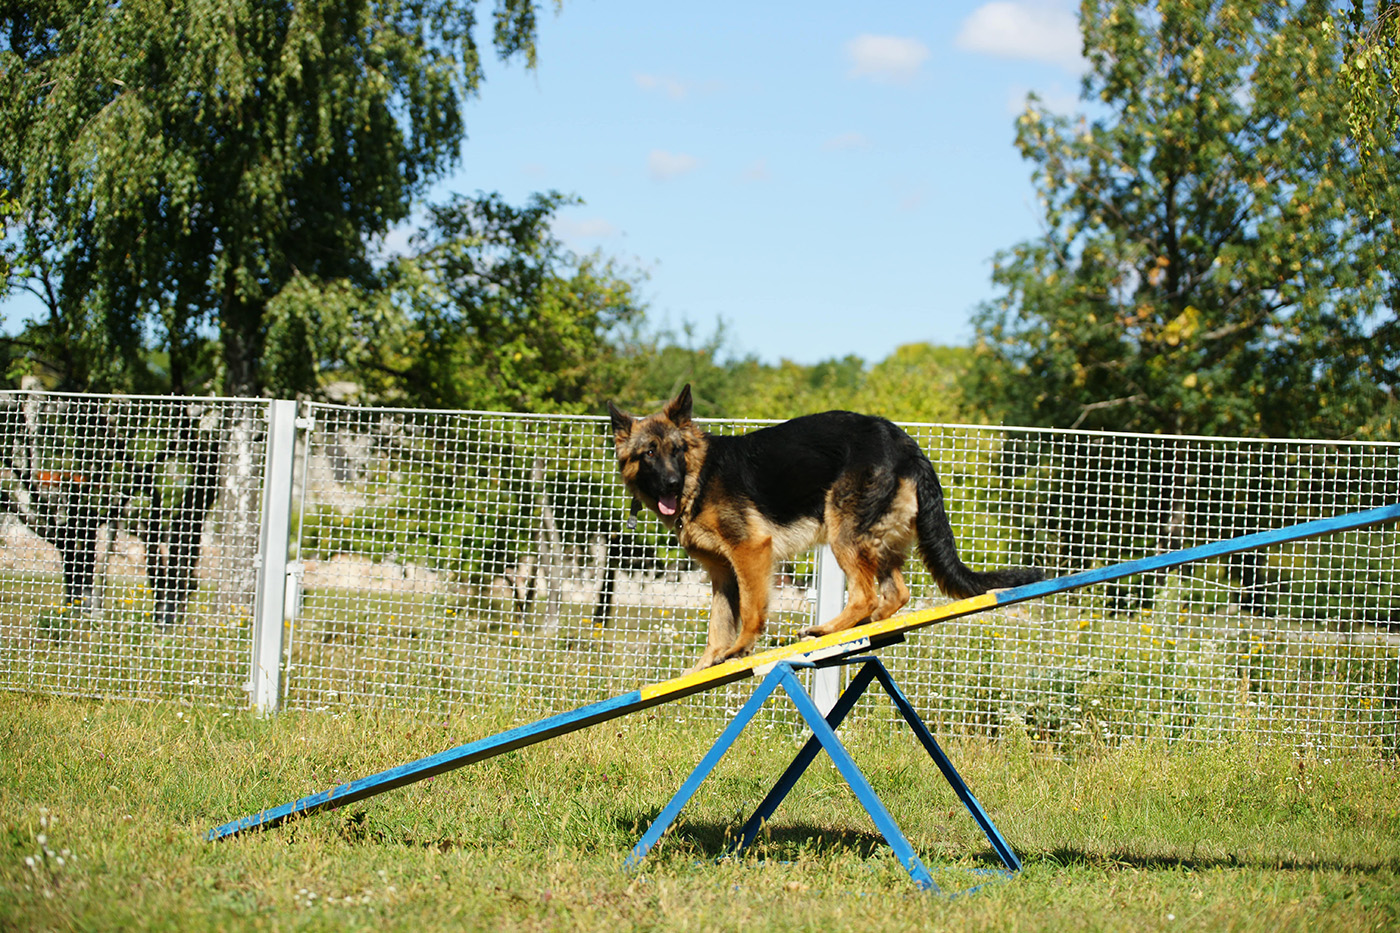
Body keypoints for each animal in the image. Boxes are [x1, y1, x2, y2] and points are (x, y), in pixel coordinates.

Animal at [607, 383, 1047, 669]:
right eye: (649, 454)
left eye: (676, 451)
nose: (671, 484)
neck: (700, 475)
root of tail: (906, 443)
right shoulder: (722, 573)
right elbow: (718, 625)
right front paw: (707, 664)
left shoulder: (751, 551)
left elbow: (750, 611)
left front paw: (741, 648)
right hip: (875, 539)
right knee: (896, 594)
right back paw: (862, 626)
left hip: (843, 534)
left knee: (866, 595)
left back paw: (829, 630)